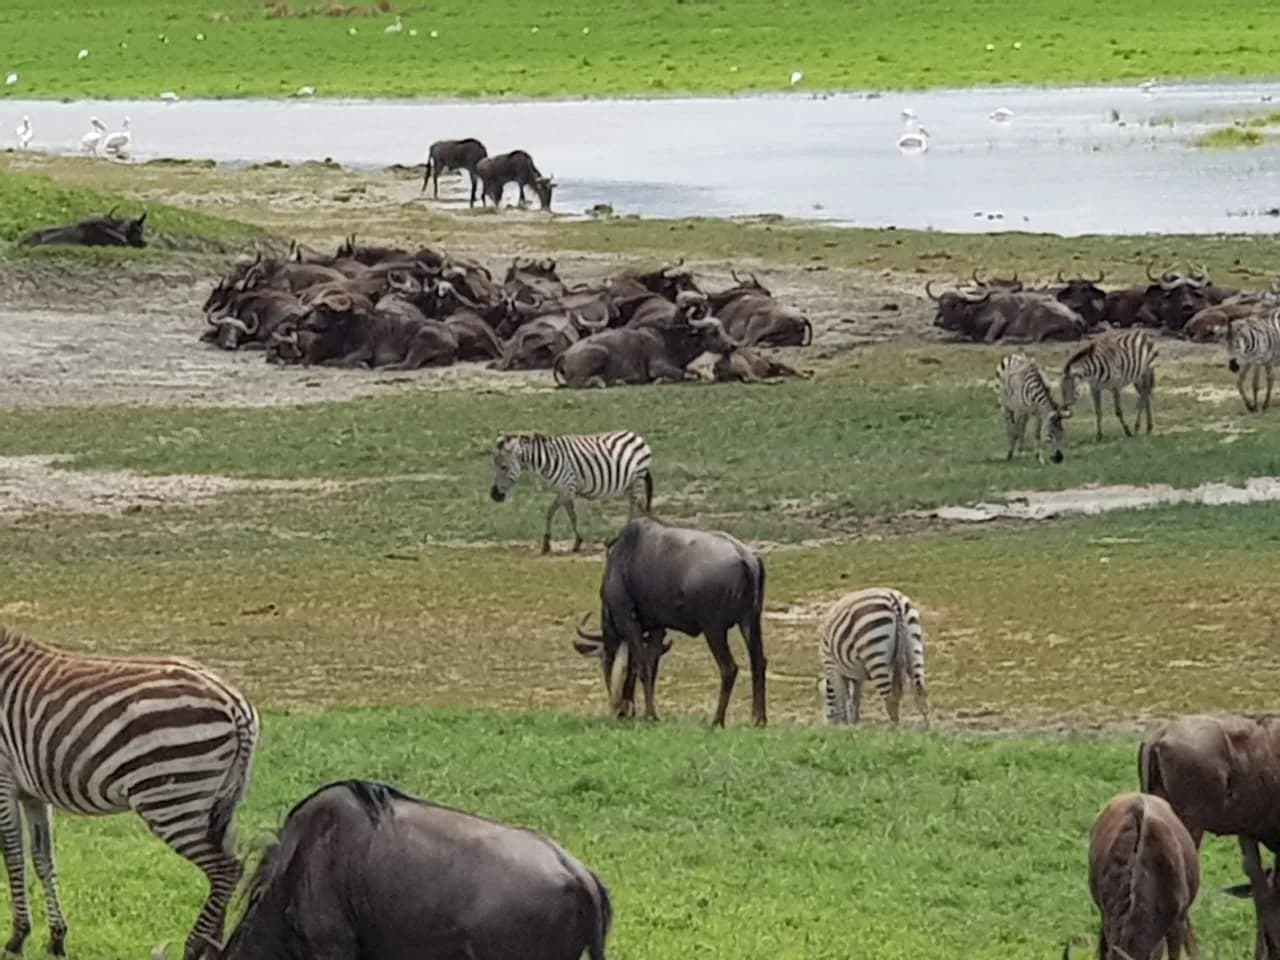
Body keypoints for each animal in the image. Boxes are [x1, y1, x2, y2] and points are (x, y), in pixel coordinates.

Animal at [0, 626, 259, 960]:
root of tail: (235, 703)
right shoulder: (33, 792)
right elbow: (43, 859)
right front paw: (57, 938)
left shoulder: (3, 781)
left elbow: (14, 857)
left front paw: (17, 938)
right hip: (218, 803)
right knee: (225, 870)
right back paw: (215, 947)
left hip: (171, 802)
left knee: (227, 870)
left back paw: (193, 947)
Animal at [490, 430, 654, 554]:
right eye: (496, 465)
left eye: (503, 467)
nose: (494, 495)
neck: (548, 460)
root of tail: (635, 436)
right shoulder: (565, 491)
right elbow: (572, 516)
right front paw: (577, 542)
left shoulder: (567, 488)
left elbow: (550, 512)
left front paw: (546, 543)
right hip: (630, 485)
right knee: (640, 507)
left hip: (636, 480)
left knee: (634, 509)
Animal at [818, 587, 930, 728]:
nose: (826, 726)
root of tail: (894, 600)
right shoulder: (857, 676)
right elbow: (855, 700)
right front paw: (854, 723)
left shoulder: (832, 667)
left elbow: (842, 699)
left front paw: (845, 725)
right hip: (914, 646)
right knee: (920, 692)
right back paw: (928, 729)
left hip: (875, 653)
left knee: (890, 699)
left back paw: (895, 729)